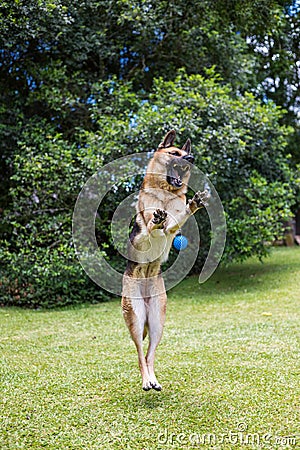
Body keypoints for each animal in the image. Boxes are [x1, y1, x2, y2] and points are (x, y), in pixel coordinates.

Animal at [120, 129, 209, 390]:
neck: (166, 195)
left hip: (158, 321)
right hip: (136, 316)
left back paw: (154, 379)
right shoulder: (142, 236)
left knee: (150, 354)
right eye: (174, 153)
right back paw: (146, 380)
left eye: (186, 153)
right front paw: (156, 219)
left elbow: (176, 219)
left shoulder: (171, 230)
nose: (191, 158)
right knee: (140, 353)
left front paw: (193, 204)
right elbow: (150, 225)